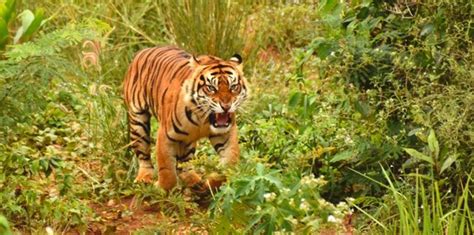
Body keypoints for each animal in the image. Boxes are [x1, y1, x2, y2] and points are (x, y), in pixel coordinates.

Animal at [122, 46, 248, 191]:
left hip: (187, 139)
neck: (203, 118)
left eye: (233, 87)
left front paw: (210, 183)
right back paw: (144, 177)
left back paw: (193, 180)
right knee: (143, 153)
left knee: (185, 161)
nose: (226, 106)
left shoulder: (226, 133)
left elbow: (229, 163)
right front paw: (161, 190)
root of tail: (143, 50)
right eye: (211, 88)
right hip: (138, 120)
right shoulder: (165, 136)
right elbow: (167, 171)